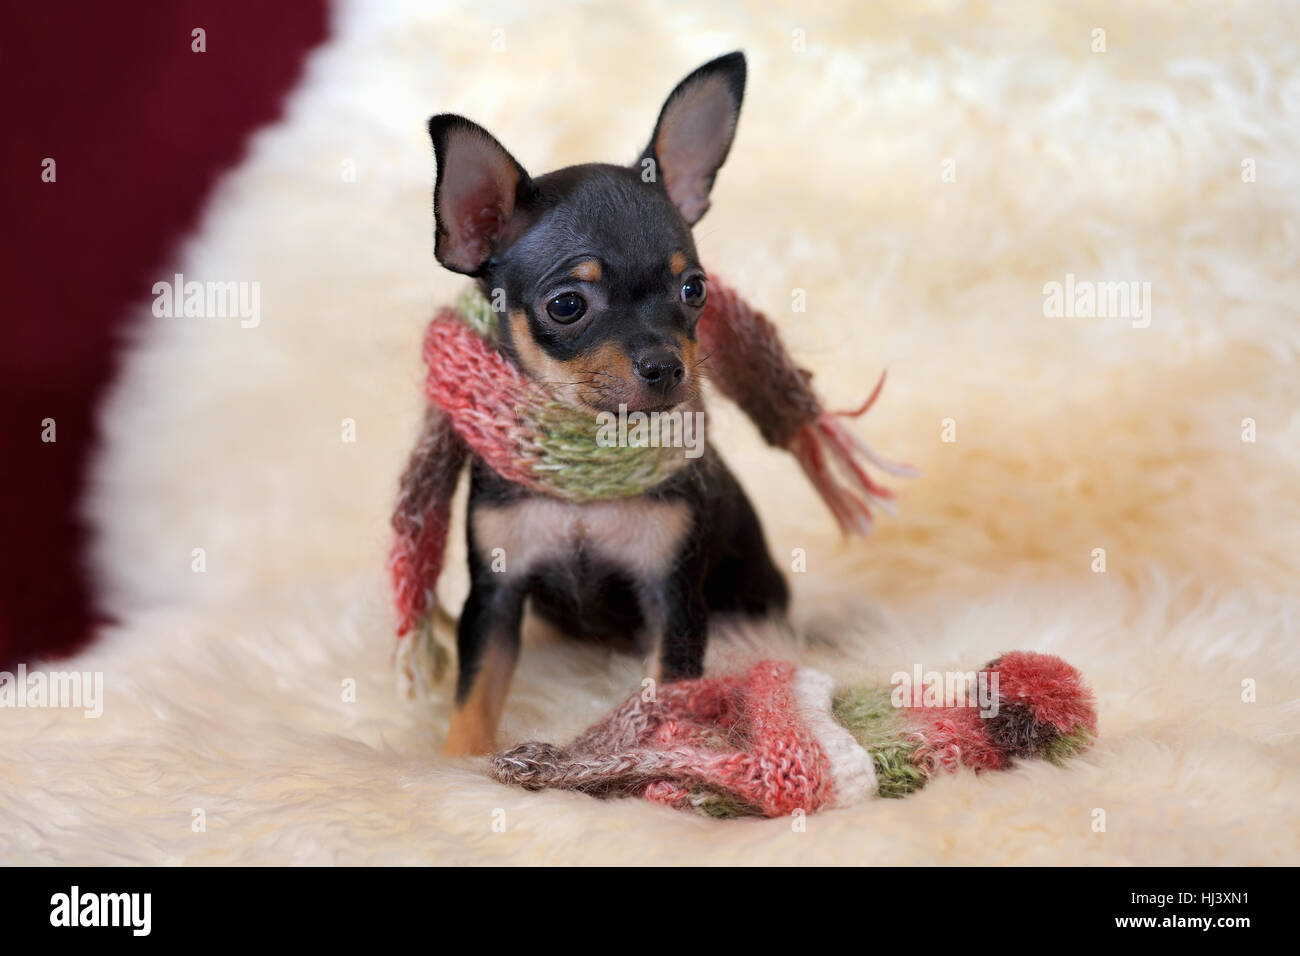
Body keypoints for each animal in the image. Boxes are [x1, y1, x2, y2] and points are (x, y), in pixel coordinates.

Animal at [431, 52, 785, 754]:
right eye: (567, 305)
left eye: (694, 289)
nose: (668, 366)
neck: (586, 476)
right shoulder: (496, 596)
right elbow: (475, 695)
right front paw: (454, 763)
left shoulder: (673, 600)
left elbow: (664, 690)